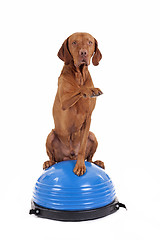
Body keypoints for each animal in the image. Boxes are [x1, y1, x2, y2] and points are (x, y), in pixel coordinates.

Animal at [42, 32, 105, 176]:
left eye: (89, 42)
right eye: (74, 42)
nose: (83, 53)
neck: (79, 75)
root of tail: (69, 156)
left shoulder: (88, 118)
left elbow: (82, 148)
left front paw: (80, 165)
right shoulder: (64, 101)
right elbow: (78, 89)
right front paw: (90, 90)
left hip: (92, 135)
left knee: (90, 158)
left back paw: (98, 162)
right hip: (51, 135)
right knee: (52, 158)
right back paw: (48, 163)